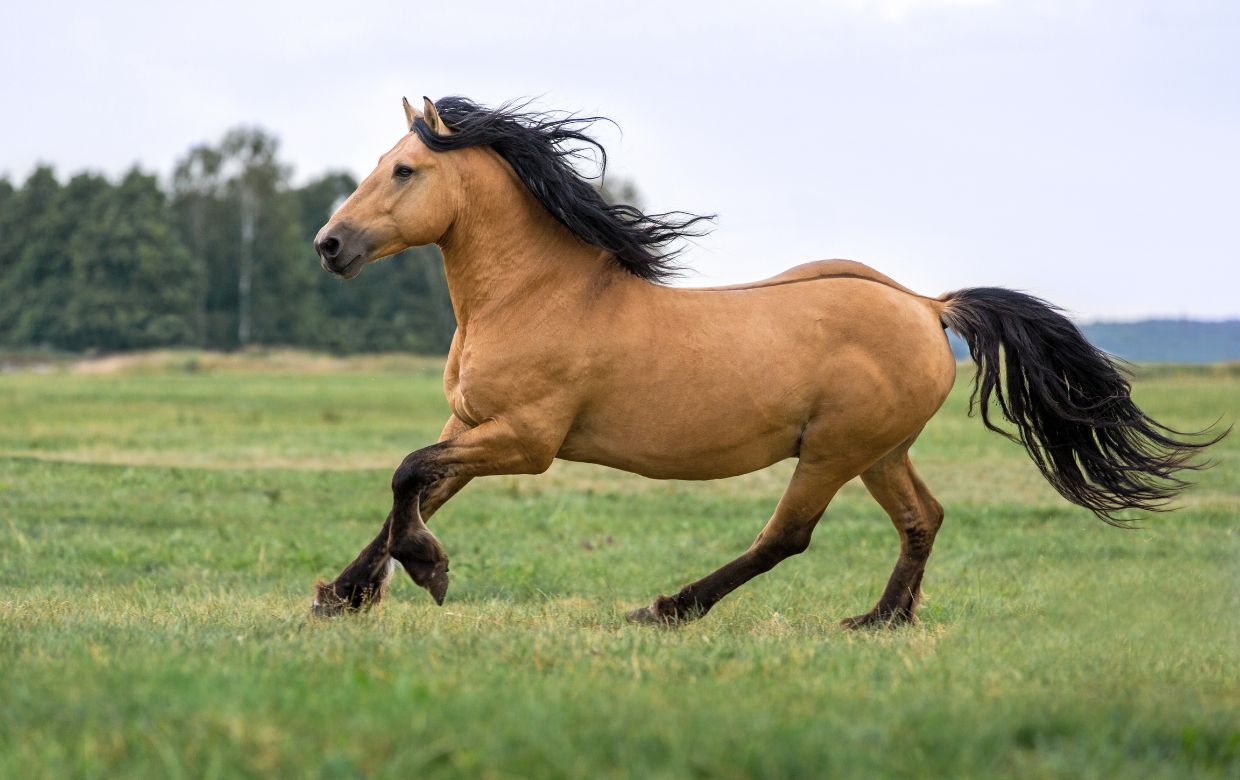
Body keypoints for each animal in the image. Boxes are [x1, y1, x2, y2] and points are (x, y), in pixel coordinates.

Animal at [310, 96, 1223, 627]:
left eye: (405, 169)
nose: (329, 245)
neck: (537, 293)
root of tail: (927, 306)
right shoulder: (472, 423)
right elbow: (416, 488)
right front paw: (343, 594)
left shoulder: (526, 441)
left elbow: (406, 475)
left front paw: (425, 572)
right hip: (881, 451)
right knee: (922, 519)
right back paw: (881, 620)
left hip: (832, 451)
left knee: (787, 536)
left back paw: (668, 608)